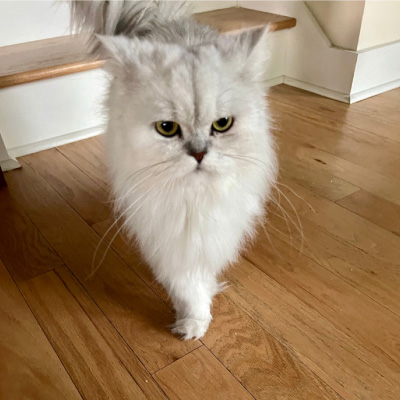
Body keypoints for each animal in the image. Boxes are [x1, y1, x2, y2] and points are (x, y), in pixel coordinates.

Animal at [72, 0, 276, 340]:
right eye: (167, 128)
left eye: (222, 124)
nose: (199, 153)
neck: (193, 197)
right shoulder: (169, 238)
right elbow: (187, 286)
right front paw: (192, 324)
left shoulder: (215, 230)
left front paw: (198, 316)